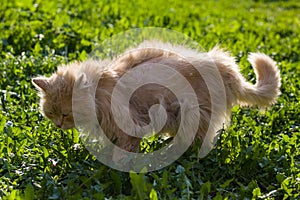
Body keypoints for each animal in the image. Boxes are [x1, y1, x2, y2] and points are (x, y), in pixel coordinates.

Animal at [32, 41, 282, 158]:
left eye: (66, 113)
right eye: (51, 114)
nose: (59, 125)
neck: (100, 91)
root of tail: (222, 66)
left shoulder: (129, 125)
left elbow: (124, 151)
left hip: (192, 111)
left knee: (199, 140)